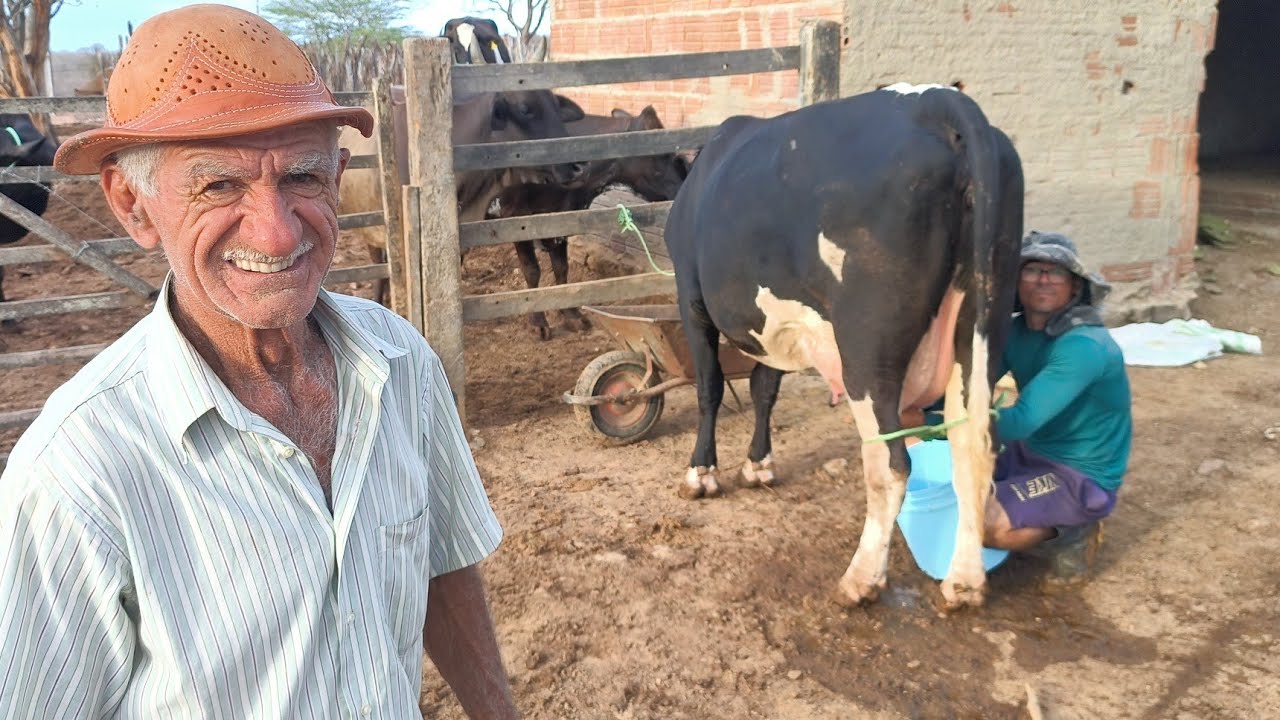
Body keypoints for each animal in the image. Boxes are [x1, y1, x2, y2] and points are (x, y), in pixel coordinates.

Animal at [488, 105, 691, 338]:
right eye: (662, 154)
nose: (685, 184)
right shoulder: (515, 220)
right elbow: (532, 271)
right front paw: (539, 323)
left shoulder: (559, 222)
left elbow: (561, 270)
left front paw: (572, 316)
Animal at [663, 84, 1023, 609]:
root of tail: (933, 101)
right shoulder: (781, 323)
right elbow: (764, 389)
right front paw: (758, 464)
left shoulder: (691, 299)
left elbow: (709, 388)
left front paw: (700, 474)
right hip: (982, 320)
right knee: (974, 446)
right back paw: (964, 582)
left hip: (868, 347)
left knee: (891, 464)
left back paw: (861, 579)